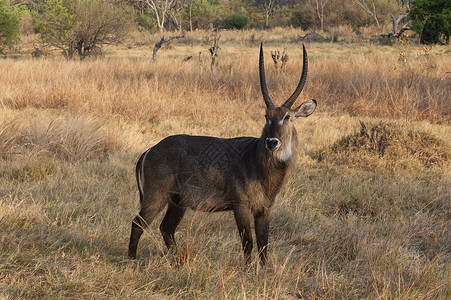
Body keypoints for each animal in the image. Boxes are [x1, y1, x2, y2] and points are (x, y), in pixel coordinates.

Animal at [128, 43, 318, 264]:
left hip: (177, 202)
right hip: (156, 196)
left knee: (166, 228)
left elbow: (264, 246)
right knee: (138, 223)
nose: (272, 142)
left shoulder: (265, 210)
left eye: (287, 117)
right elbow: (248, 244)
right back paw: (132, 260)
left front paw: (264, 270)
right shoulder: (241, 206)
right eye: (266, 116)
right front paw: (247, 270)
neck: (258, 163)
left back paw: (177, 261)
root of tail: (149, 150)